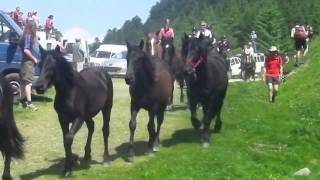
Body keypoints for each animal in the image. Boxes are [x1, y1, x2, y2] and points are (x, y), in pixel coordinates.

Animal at [33, 46, 113, 176]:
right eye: (40, 64)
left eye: (54, 65)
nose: (39, 87)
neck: (70, 92)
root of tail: (103, 72)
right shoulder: (62, 119)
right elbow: (65, 140)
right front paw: (69, 165)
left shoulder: (78, 118)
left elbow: (68, 139)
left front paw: (69, 168)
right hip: (88, 115)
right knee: (91, 127)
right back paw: (87, 154)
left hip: (107, 108)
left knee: (105, 130)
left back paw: (106, 159)